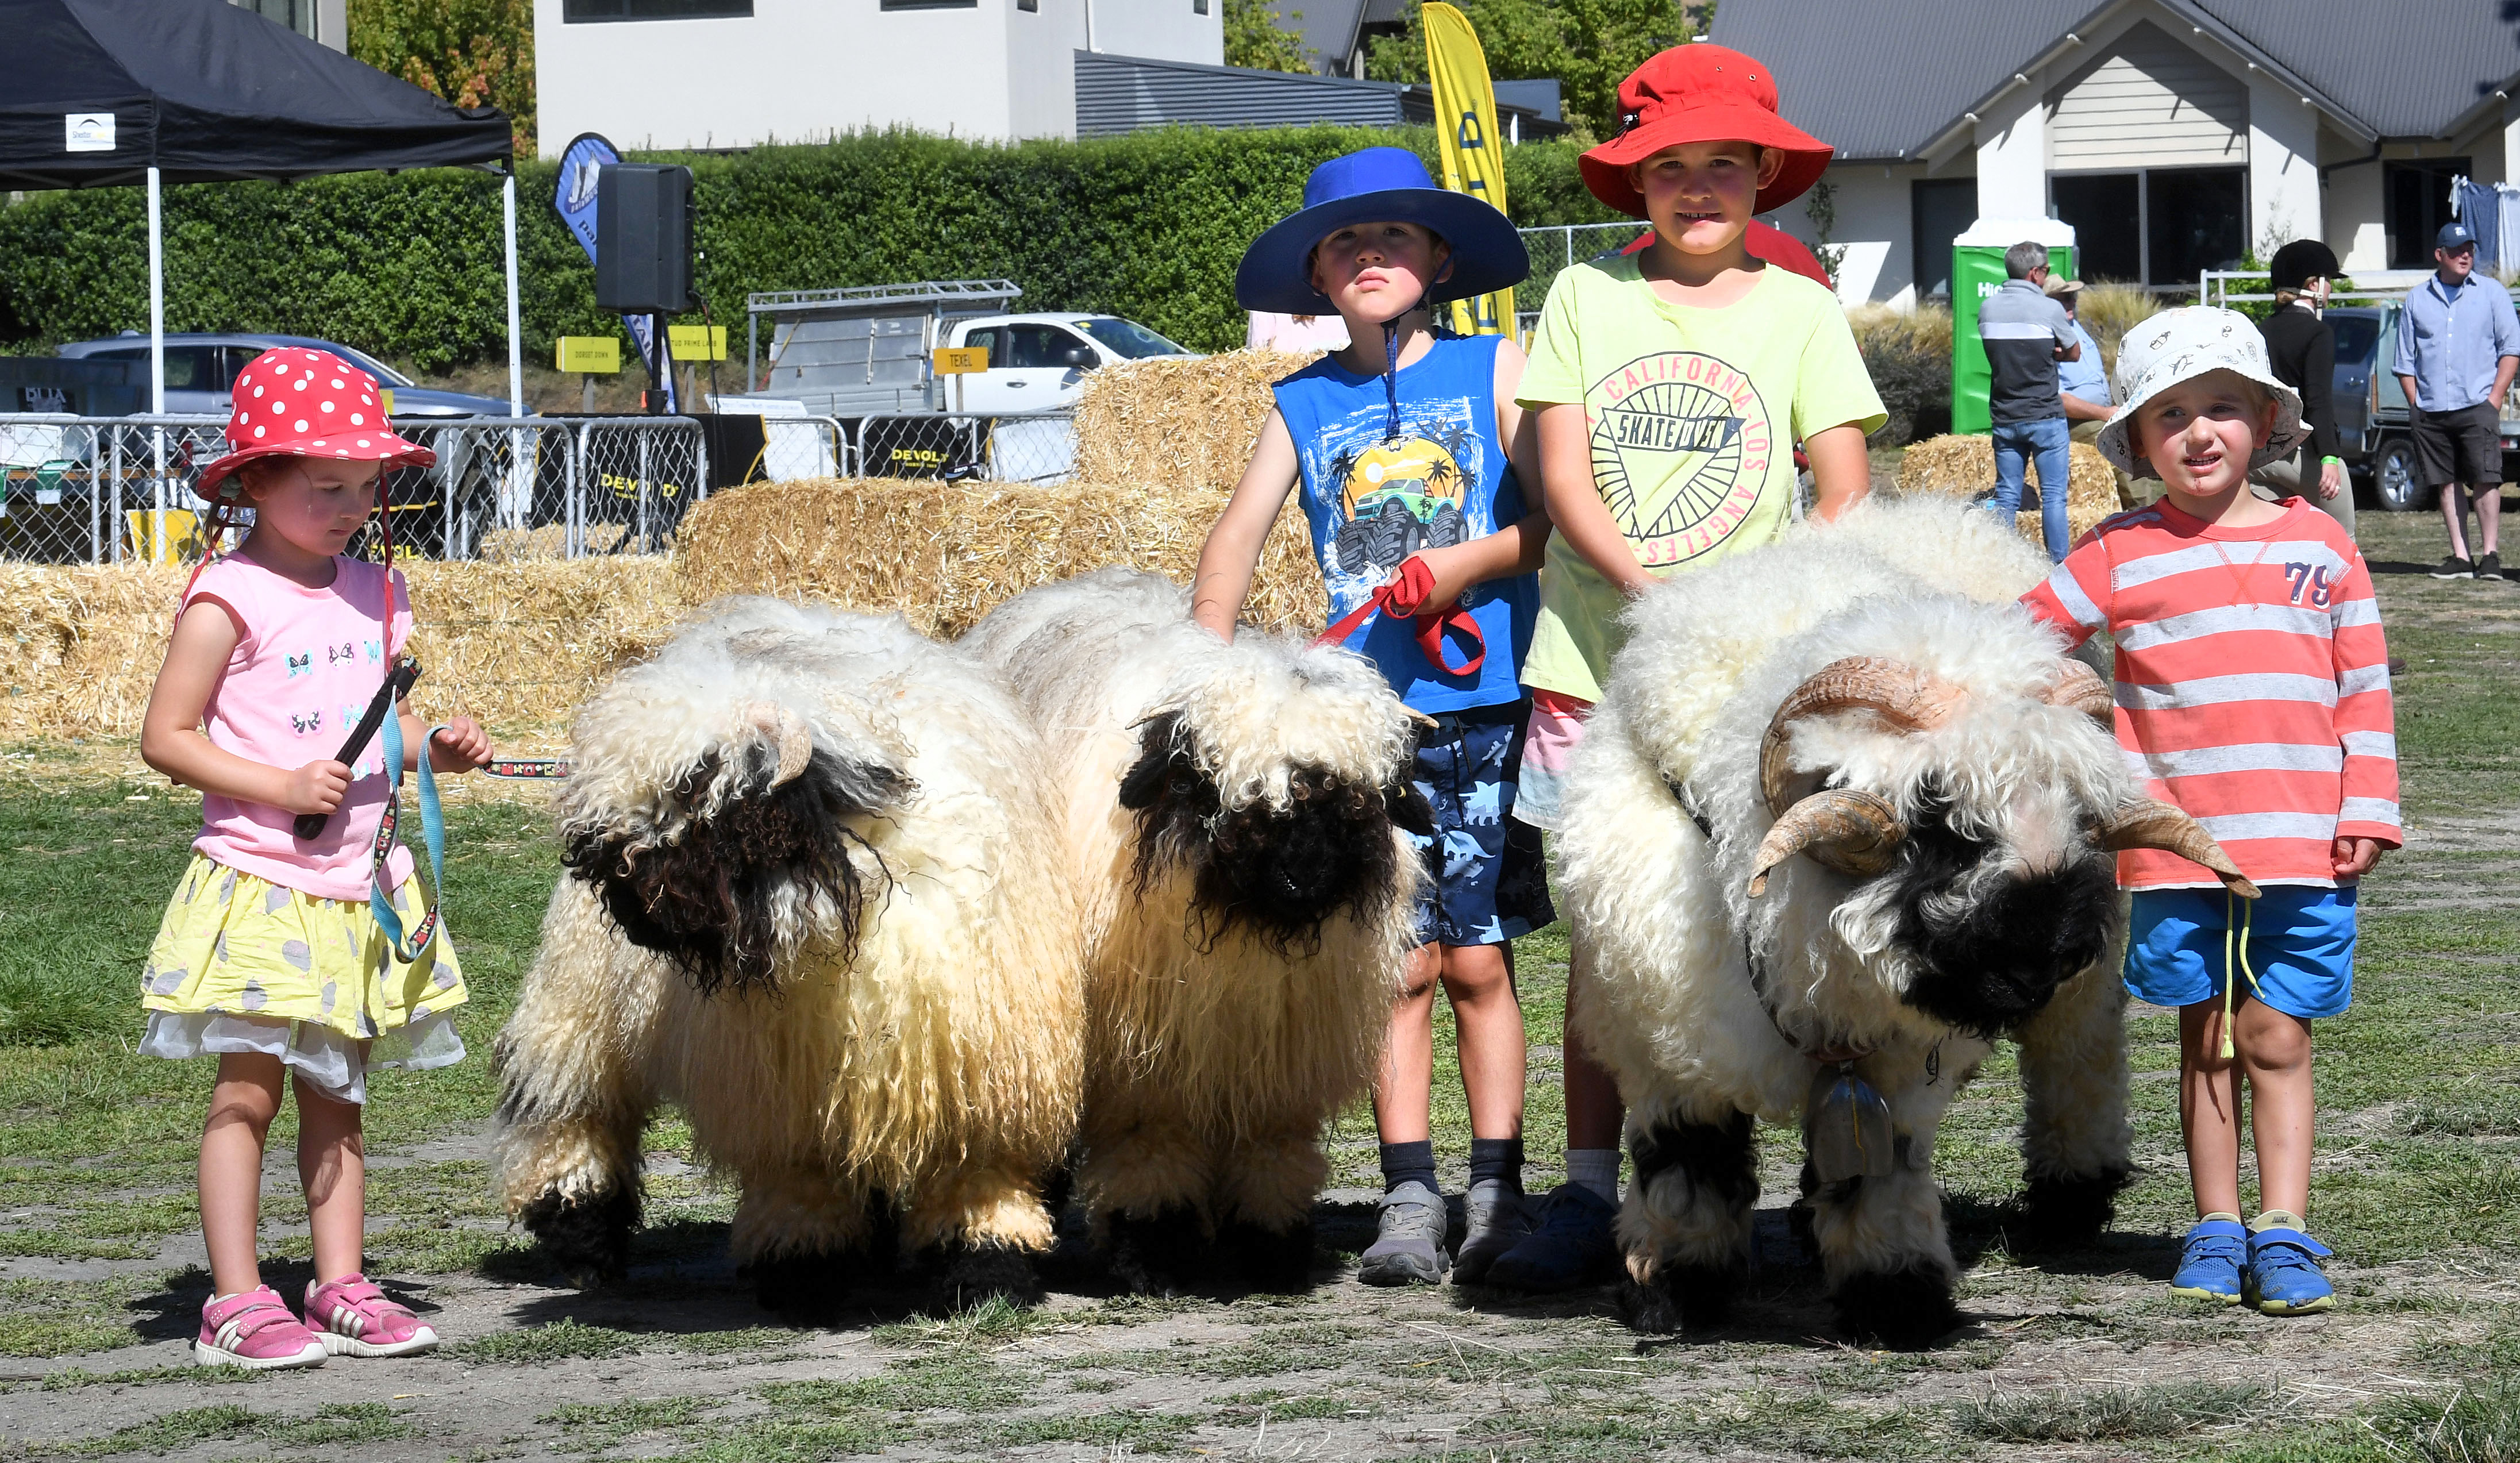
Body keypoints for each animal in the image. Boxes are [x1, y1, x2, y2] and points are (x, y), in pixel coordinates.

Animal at [491, 599, 1083, 1309]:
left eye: (697, 790)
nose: (625, 902)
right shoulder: (781, 1087)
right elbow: (802, 1180)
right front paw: (805, 1268)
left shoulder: (978, 1061)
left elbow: (978, 1172)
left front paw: (984, 1264)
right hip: (581, 988)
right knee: (571, 1100)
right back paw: (579, 1234)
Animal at [963, 571, 1431, 1289]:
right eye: (1214, 791)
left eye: (1355, 799)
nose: (1302, 875)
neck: (1246, 928)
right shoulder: (1142, 1053)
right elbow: (1152, 1143)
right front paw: (1155, 1246)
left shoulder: (1281, 1048)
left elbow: (1269, 1144)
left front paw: (1268, 1242)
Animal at [1562, 506, 2257, 1349]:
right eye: (1939, 820)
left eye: (2077, 814)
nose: (2042, 957)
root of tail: (1937, 514)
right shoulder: (1665, 1045)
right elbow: (1685, 1164)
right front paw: (1673, 1288)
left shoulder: (1897, 1059)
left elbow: (1881, 1171)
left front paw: (1897, 1298)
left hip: (2082, 1002)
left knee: (2078, 1065)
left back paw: (2067, 1202)